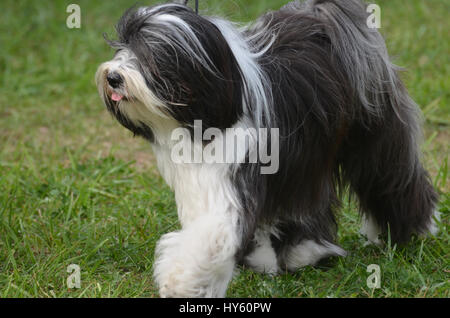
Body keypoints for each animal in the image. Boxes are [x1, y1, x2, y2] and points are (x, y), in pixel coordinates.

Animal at [96, 0, 440, 298]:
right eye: (122, 45)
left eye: (151, 53)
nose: (113, 77)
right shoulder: (206, 178)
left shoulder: (234, 172)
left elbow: (214, 233)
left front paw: (182, 281)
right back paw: (303, 250)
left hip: (373, 135)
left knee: (391, 178)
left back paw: (415, 229)